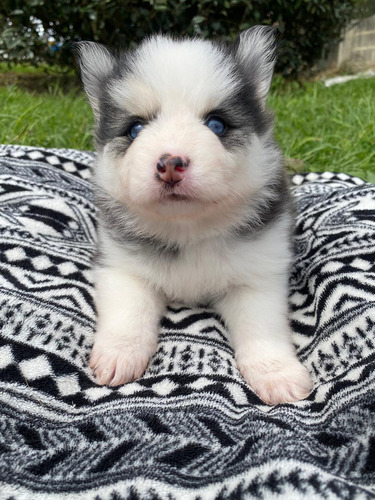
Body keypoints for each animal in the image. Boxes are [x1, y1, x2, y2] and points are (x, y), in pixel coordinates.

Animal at [76, 26, 314, 406]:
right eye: (135, 129)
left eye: (216, 124)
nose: (170, 164)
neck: (188, 229)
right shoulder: (121, 267)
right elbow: (129, 313)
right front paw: (120, 353)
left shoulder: (258, 276)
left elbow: (262, 327)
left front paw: (276, 371)